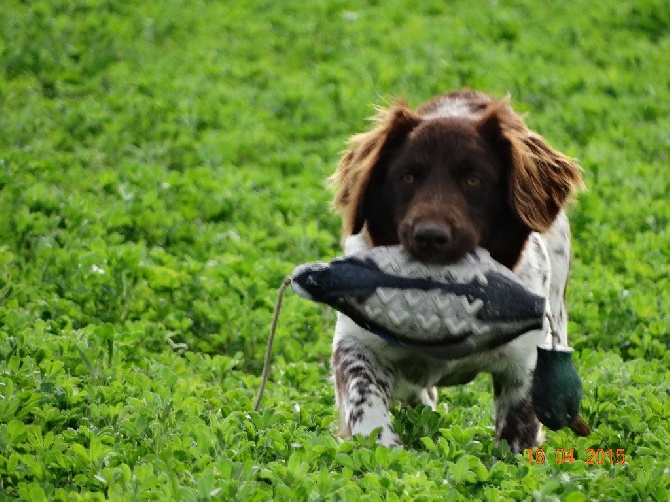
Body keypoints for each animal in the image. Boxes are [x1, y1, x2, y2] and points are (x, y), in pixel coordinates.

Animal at [334, 88, 584, 452]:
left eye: (474, 179)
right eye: (406, 177)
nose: (430, 236)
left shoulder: (525, 363)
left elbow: (516, 435)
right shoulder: (355, 342)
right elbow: (365, 404)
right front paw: (386, 449)